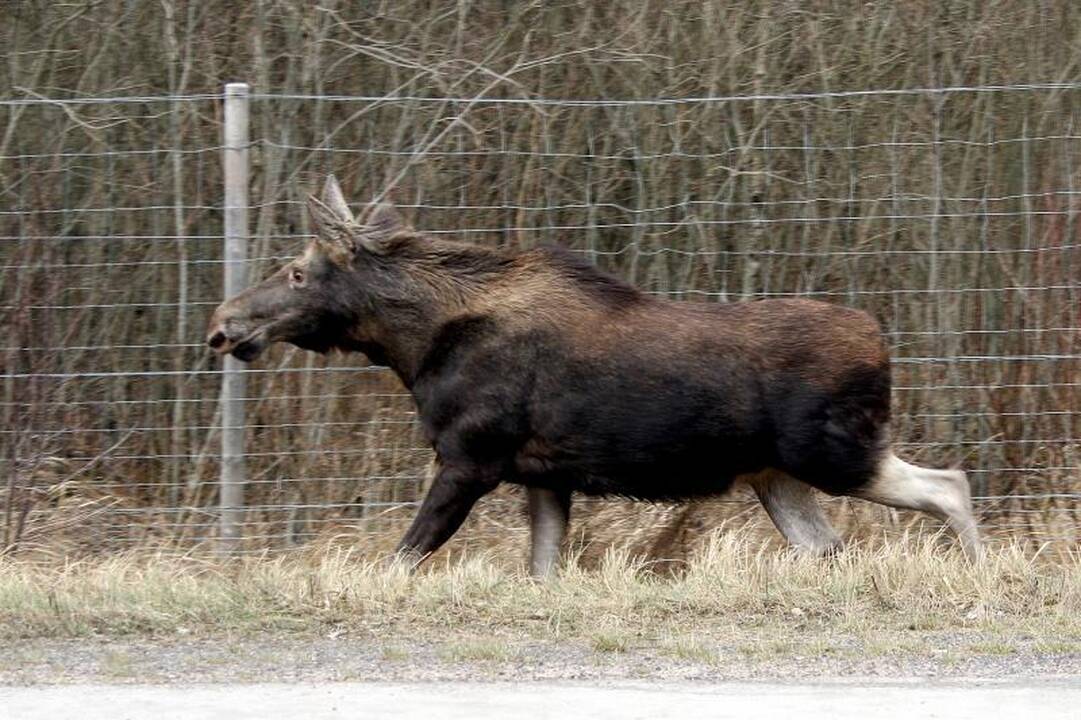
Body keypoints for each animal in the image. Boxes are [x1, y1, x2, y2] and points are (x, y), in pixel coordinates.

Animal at [206, 174, 985, 570]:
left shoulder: (470, 458)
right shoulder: (543, 477)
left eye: (296, 271)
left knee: (950, 484)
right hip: (778, 477)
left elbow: (404, 556)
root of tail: (882, 340)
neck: (414, 347)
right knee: (830, 546)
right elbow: (542, 567)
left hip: (834, 453)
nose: (224, 323)